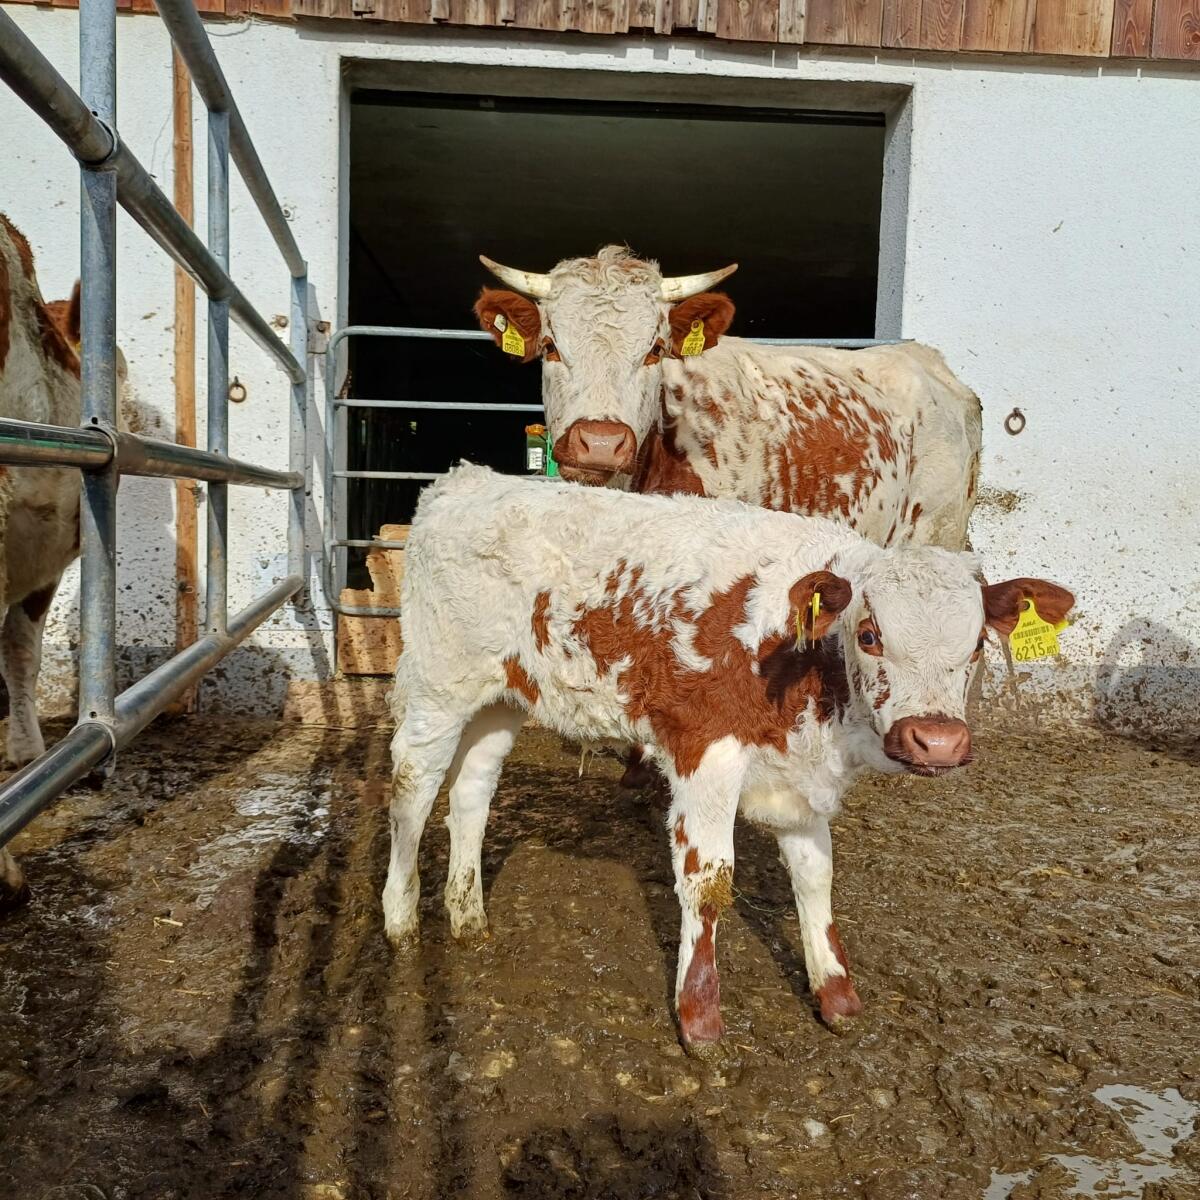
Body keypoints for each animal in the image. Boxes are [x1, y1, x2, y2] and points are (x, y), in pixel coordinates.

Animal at [382, 465, 1074, 1054]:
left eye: (977, 644)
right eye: (870, 634)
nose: (936, 740)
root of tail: (465, 481)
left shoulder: (799, 778)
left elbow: (815, 876)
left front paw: (836, 994)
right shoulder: (705, 751)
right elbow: (708, 879)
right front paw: (699, 1019)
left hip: (501, 697)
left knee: (472, 792)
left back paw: (468, 917)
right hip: (440, 683)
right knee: (413, 785)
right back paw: (401, 921)